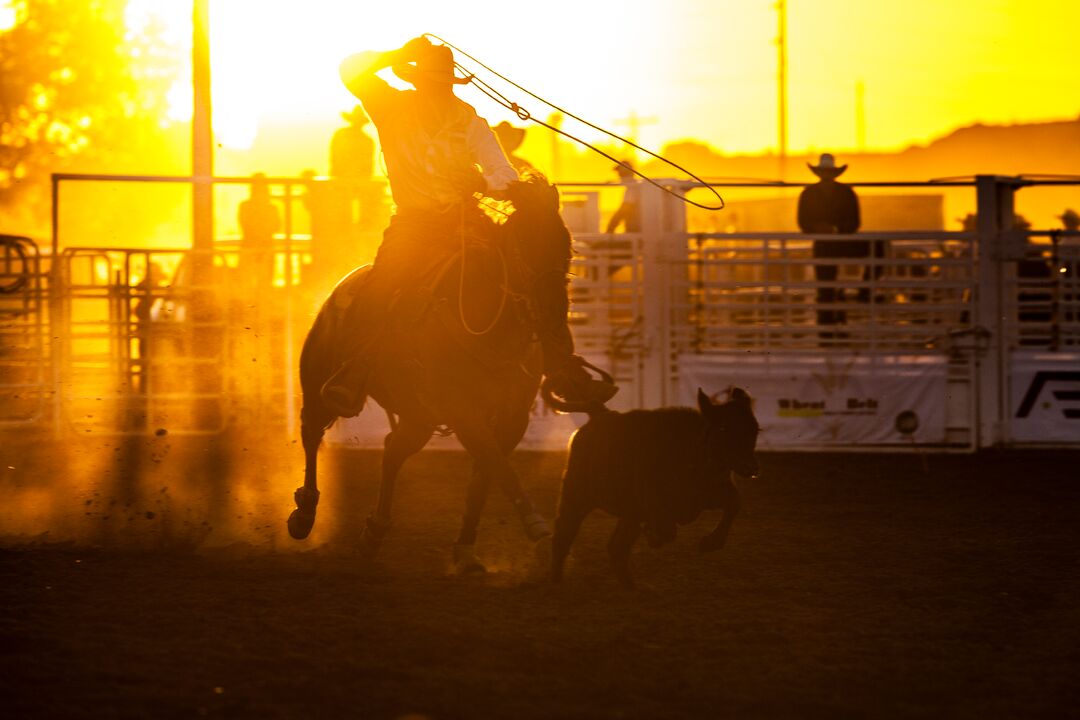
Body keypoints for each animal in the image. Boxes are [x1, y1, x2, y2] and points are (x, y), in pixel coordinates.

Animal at [285, 171, 574, 569]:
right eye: (523, 245)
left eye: (566, 246)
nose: (553, 316)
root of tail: (337, 291)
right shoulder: (464, 412)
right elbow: (500, 467)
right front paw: (538, 528)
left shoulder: (513, 418)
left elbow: (486, 474)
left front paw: (465, 549)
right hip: (317, 384)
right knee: (312, 431)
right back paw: (304, 514)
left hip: (419, 417)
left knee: (392, 450)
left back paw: (373, 534)